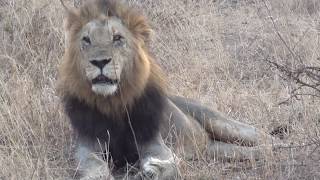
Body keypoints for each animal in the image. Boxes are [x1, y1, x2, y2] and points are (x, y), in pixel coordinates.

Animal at [57, 0, 278, 180]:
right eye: (86, 40)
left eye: (117, 38)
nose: (100, 61)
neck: (113, 103)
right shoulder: (87, 147)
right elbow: (92, 166)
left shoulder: (154, 143)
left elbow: (170, 164)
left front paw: (152, 171)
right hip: (219, 150)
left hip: (222, 123)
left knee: (264, 136)